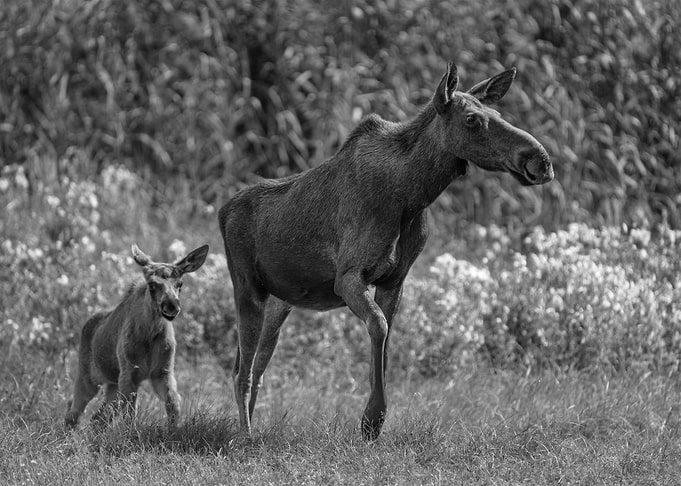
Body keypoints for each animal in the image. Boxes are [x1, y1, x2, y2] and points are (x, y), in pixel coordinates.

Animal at [64, 243, 209, 430]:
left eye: (180, 283)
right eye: (152, 284)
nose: (172, 307)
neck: (149, 334)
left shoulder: (162, 371)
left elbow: (174, 402)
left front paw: (174, 430)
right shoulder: (129, 372)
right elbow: (129, 414)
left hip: (112, 384)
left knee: (97, 417)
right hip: (88, 376)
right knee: (73, 409)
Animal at [218, 61, 554, 440]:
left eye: (497, 113)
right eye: (471, 119)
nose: (540, 160)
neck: (413, 195)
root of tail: (223, 211)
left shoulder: (396, 279)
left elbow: (385, 341)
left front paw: (372, 421)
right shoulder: (349, 276)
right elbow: (378, 327)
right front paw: (372, 419)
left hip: (279, 302)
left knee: (256, 366)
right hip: (248, 289)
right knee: (241, 371)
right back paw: (245, 436)